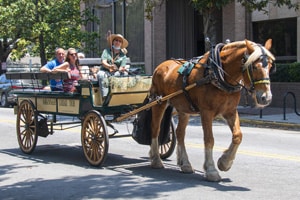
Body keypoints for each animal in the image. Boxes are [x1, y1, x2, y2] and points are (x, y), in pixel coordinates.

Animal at [149, 38, 276, 181]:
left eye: (270, 66)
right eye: (254, 67)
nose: (266, 97)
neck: (216, 74)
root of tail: (160, 66)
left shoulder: (230, 111)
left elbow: (238, 135)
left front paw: (225, 162)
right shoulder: (206, 112)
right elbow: (209, 139)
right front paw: (211, 169)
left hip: (184, 109)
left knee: (180, 133)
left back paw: (185, 164)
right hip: (159, 103)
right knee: (155, 129)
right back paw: (156, 160)